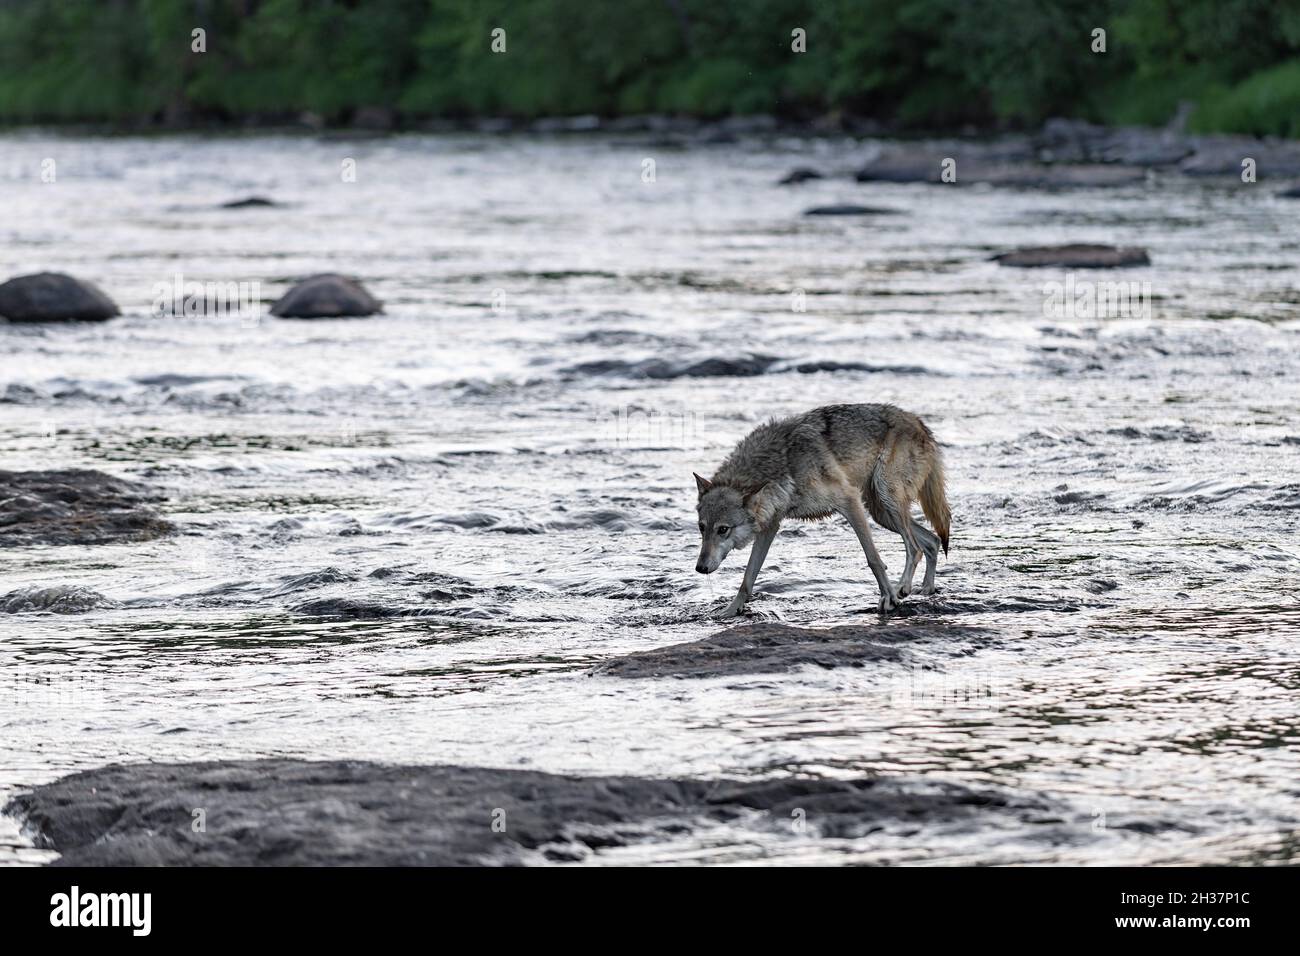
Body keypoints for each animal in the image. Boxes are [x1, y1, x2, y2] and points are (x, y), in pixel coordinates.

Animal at [694, 404, 950, 617]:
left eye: (723, 529)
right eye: (702, 528)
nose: (700, 568)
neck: (784, 461)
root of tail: (919, 422)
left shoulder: (849, 501)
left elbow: (874, 560)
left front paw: (888, 597)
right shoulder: (770, 527)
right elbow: (748, 577)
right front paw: (731, 610)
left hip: (886, 501)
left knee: (915, 548)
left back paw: (901, 589)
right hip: (881, 514)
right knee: (933, 541)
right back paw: (927, 588)